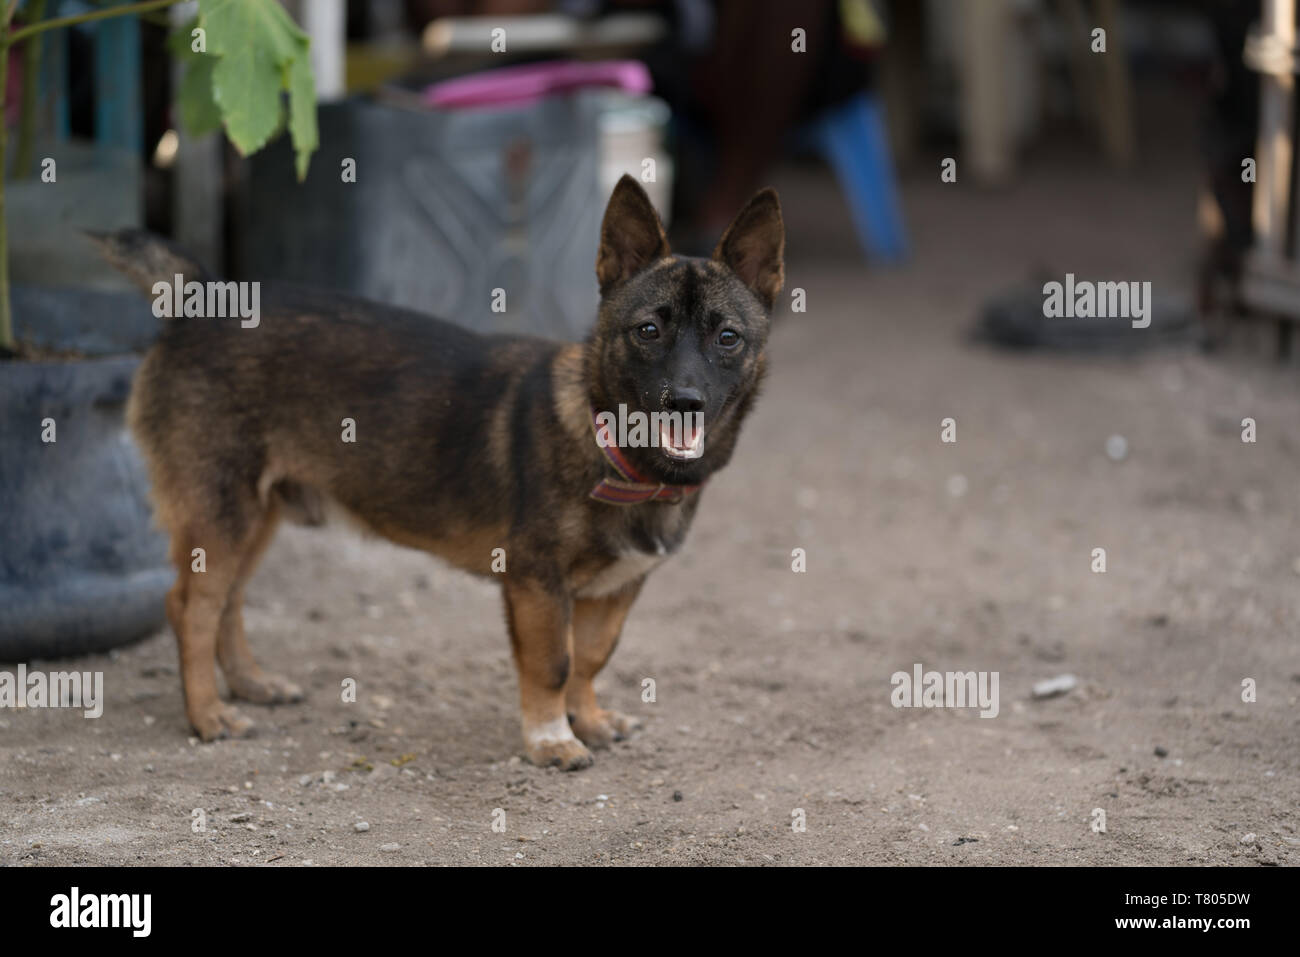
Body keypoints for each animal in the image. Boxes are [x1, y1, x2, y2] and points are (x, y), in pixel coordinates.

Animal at [98, 174, 780, 769]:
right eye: (647, 331)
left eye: (727, 338)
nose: (685, 402)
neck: (614, 448)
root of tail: (201, 301)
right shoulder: (536, 585)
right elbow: (553, 664)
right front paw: (550, 739)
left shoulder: (615, 591)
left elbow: (590, 659)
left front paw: (585, 719)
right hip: (221, 511)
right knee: (191, 607)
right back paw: (207, 715)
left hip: (253, 515)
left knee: (228, 602)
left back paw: (249, 685)